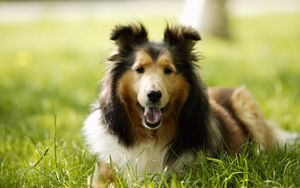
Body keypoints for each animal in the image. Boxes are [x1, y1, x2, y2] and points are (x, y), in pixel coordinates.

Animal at [82, 23, 298, 187]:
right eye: (139, 69)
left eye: (168, 70)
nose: (154, 95)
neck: (152, 136)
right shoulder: (105, 171)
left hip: (244, 102)